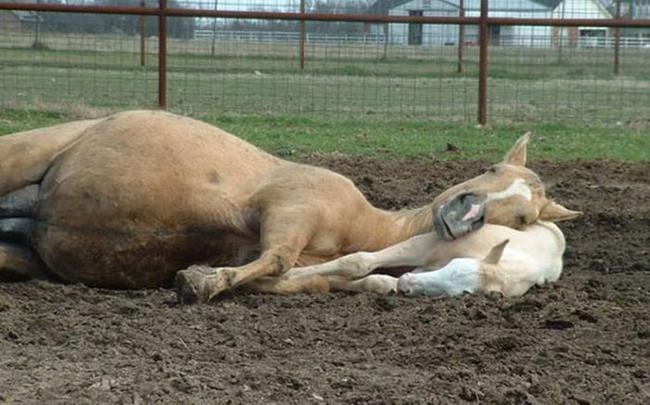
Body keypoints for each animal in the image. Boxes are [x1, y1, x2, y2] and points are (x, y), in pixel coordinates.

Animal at [0, 110, 576, 304]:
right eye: (491, 169)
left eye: (524, 218)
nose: (462, 211)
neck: (362, 225)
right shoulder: (290, 209)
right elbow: (275, 258)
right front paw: (201, 281)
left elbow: (309, 275)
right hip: (26, 153)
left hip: (27, 253)